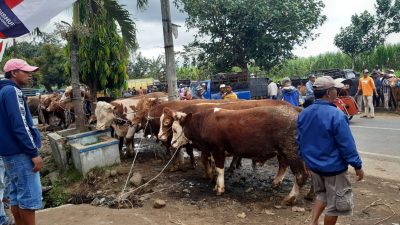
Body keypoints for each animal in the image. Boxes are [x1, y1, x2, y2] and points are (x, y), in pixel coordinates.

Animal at [164, 106, 308, 206]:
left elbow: (219, 169)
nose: (172, 143)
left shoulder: (218, 150)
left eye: (174, 129)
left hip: (292, 151)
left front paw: (220, 189)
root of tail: (297, 110)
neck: (204, 123)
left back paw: (290, 198)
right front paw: (216, 185)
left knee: (301, 175)